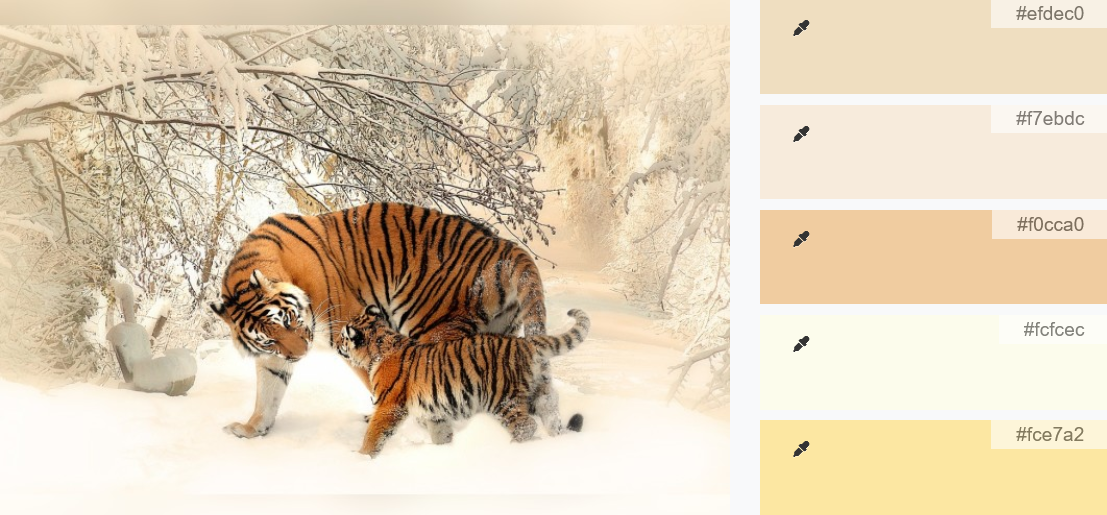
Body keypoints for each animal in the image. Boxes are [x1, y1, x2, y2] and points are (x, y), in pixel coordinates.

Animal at [209, 202, 558, 439]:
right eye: (269, 339)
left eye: (290, 319)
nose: (301, 354)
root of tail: (504, 246)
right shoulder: (274, 357)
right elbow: (268, 392)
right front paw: (252, 428)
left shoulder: (350, 327)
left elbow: (378, 378)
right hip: (498, 332)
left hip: (433, 326)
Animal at [337, 304, 589, 457]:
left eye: (342, 336)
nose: (337, 344)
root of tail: (526, 342)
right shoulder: (434, 413)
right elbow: (441, 434)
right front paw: (444, 452)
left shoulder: (389, 406)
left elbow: (374, 434)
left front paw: (361, 458)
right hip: (542, 391)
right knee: (551, 416)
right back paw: (556, 442)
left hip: (502, 398)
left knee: (526, 425)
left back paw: (512, 449)